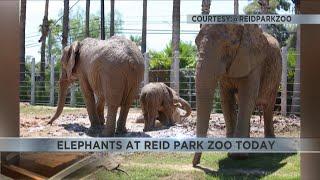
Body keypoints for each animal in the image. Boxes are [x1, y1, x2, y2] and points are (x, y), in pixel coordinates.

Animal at [192, 24, 280, 166]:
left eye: (229, 45)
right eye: (196, 43)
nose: (196, 164)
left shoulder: (253, 63)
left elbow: (247, 97)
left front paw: (238, 156)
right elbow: (226, 98)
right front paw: (231, 154)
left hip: (277, 75)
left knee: (268, 107)